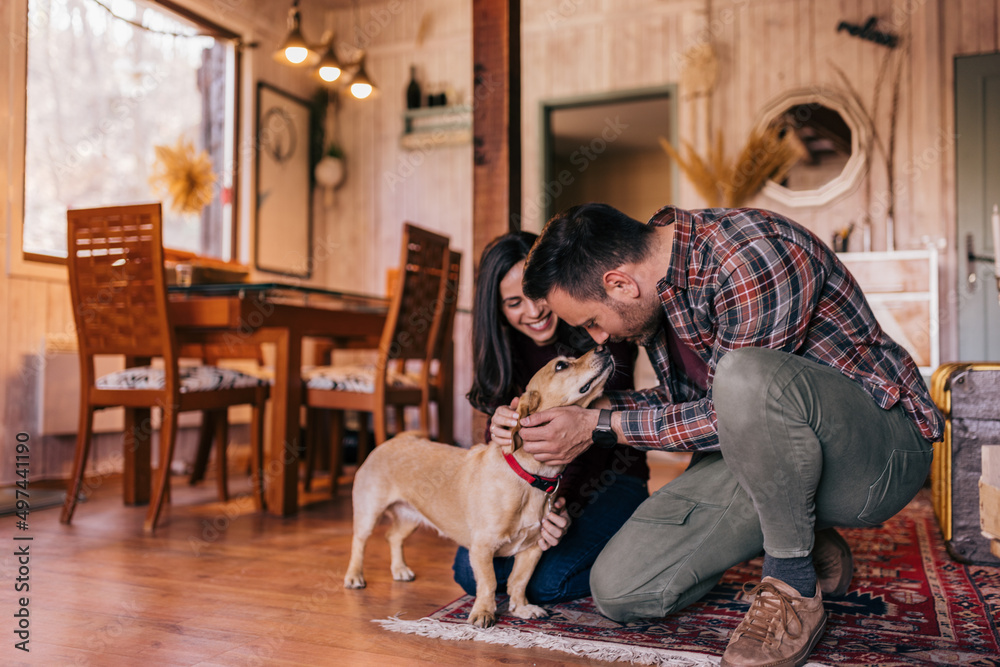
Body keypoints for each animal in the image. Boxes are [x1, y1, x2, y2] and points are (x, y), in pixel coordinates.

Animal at [344, 348, 612, 628]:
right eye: (561, 365)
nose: (603, 348)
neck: (529, 478)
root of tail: (391, 441)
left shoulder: (533, 548)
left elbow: (519, 581)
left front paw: (521, 608)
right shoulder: (482, 548)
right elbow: (489, 583)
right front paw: (483, 612)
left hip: (410, 517)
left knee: (393, 537)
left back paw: (399, 569)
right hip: (368, 513)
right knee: (359, 542)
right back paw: (354, 576)